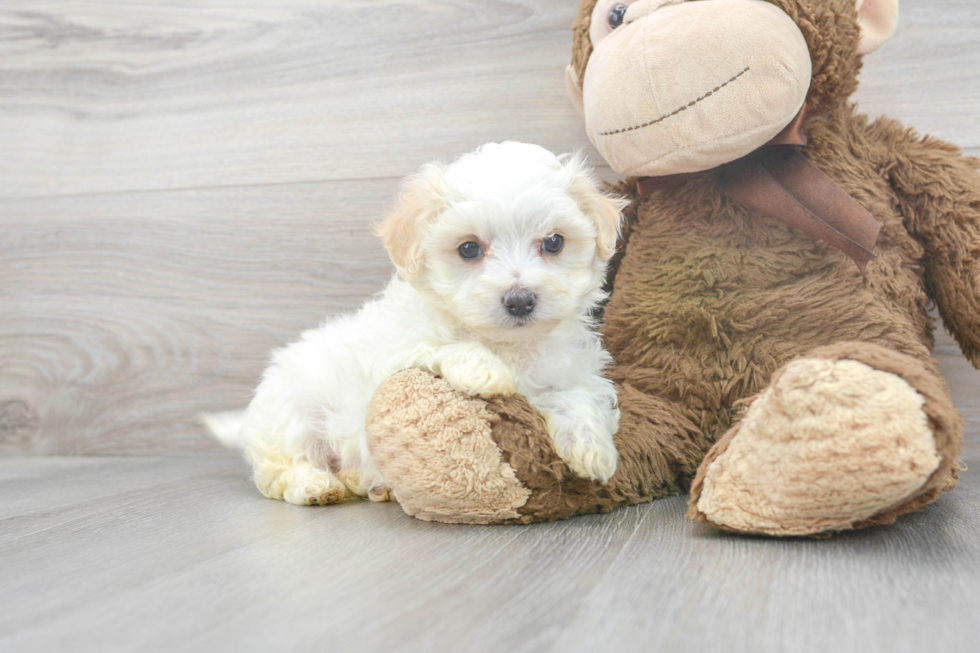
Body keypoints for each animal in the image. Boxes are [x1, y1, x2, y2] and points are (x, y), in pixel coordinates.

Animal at [213, 141, 628, 504]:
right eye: (469, 249)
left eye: (554, 242)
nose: (520, 300)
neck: (506, 344)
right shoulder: (390, 351)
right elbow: (442, 344)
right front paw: (485, 370)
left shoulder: (569, 370)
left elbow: (576, 396)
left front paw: (593, 450)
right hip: (289, 415)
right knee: (280, 470)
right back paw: (315, 485)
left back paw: (371, 485)